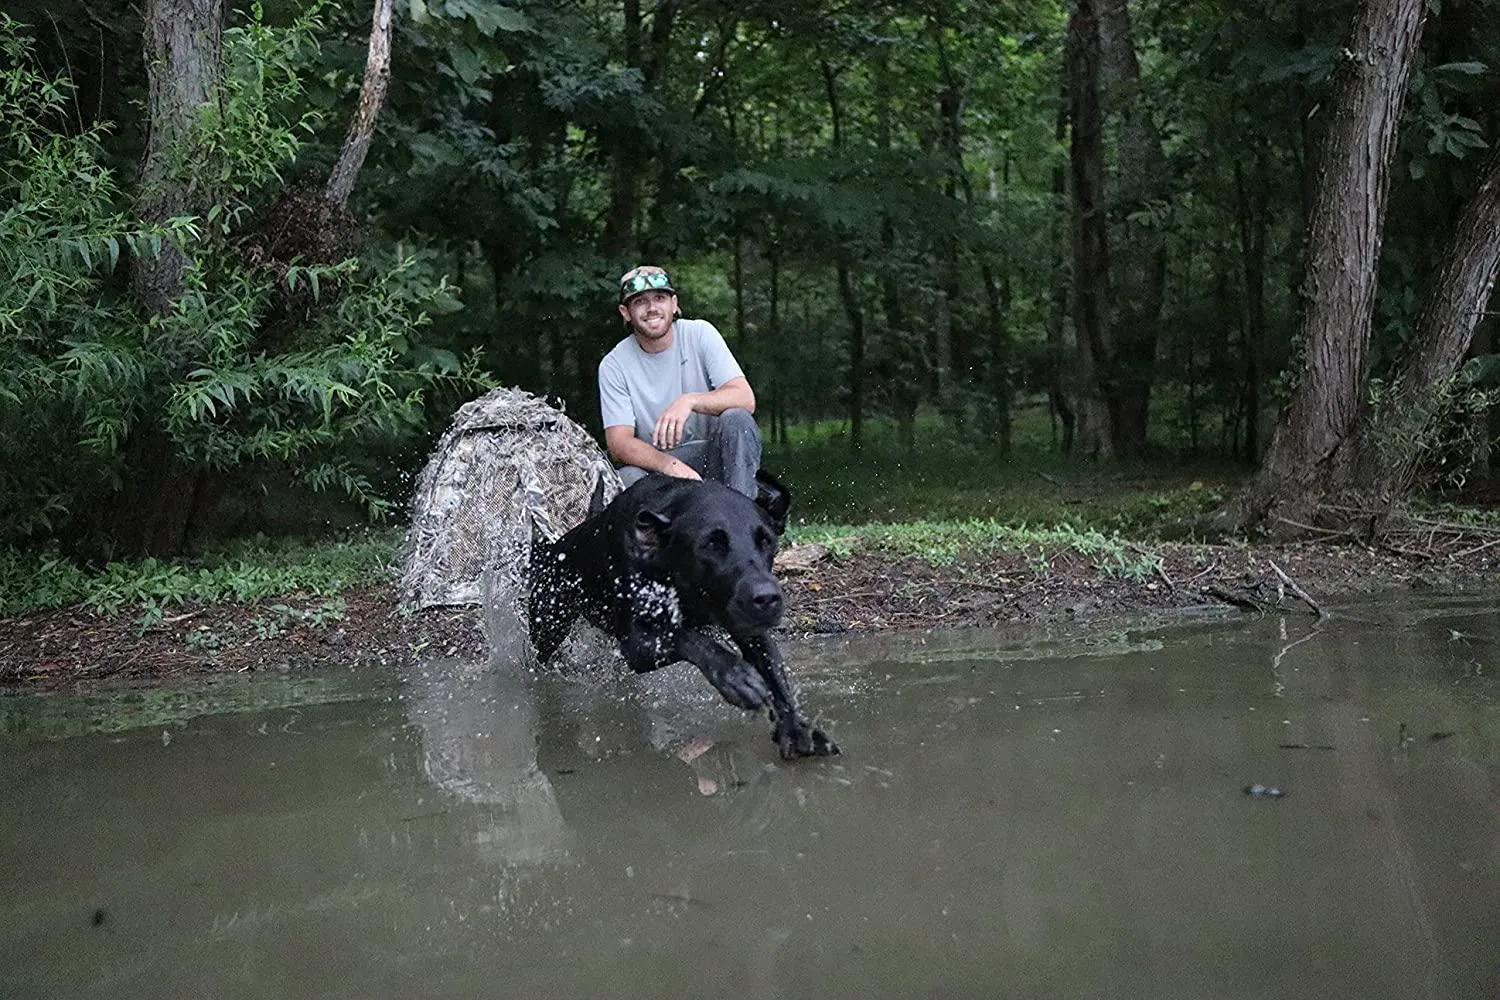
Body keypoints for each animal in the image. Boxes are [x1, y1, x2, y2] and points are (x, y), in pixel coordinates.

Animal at [525, 476, 834, 758]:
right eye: (711, 544)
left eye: (766, 540)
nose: (766, 598)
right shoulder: (638, 644)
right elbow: (688, 638)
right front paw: (735, 677)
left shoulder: (752, 631)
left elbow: (776, 676)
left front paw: (795, 728)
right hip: (548, 626)